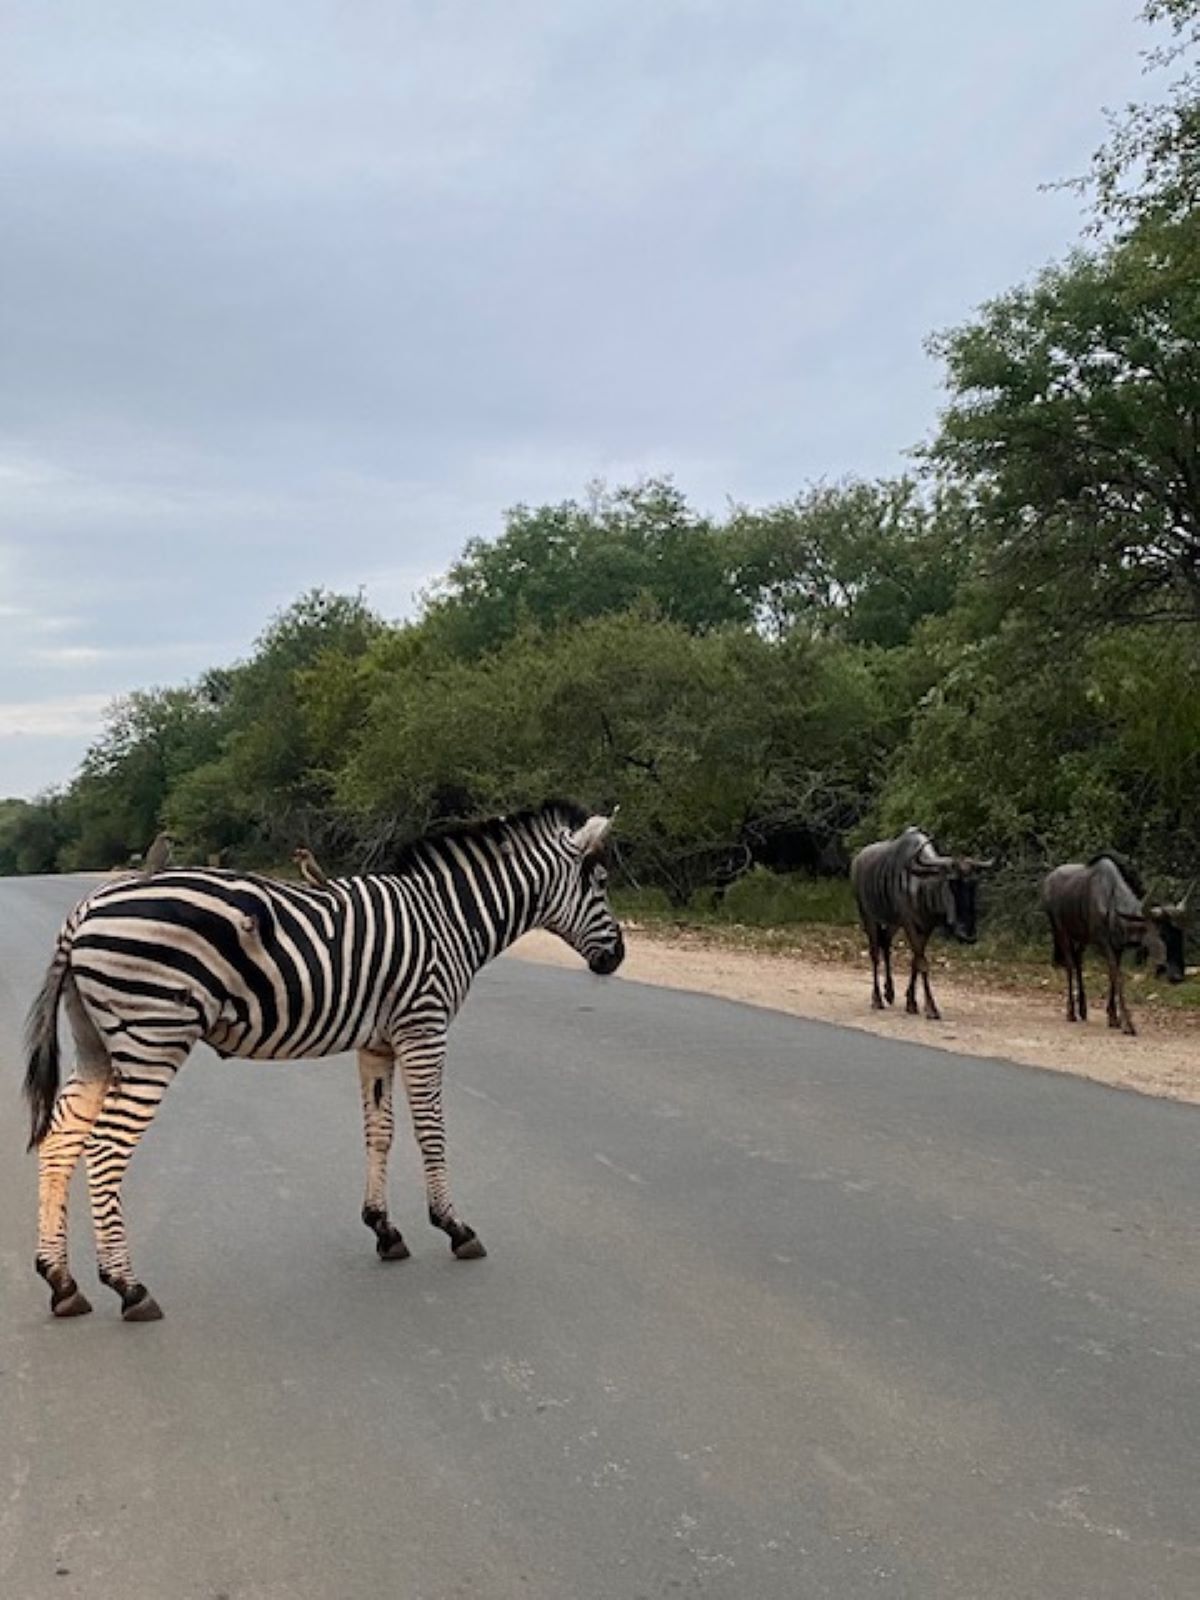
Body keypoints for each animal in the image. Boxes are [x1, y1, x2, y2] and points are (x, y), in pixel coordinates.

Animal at [24, 801, 625, 1322]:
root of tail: (82, 913)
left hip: (98, 1045)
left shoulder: (378, 1040)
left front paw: (384, 1229)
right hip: (152, 1037)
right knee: (105, 1149)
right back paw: (128, 1287)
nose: (617, 958)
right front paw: (454, 1226)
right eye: (600, 883)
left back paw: (61, 1282)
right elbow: (431, 1131)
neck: (448, 918)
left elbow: (380, 1131)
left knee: (59, 1139)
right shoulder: (423, 1026)